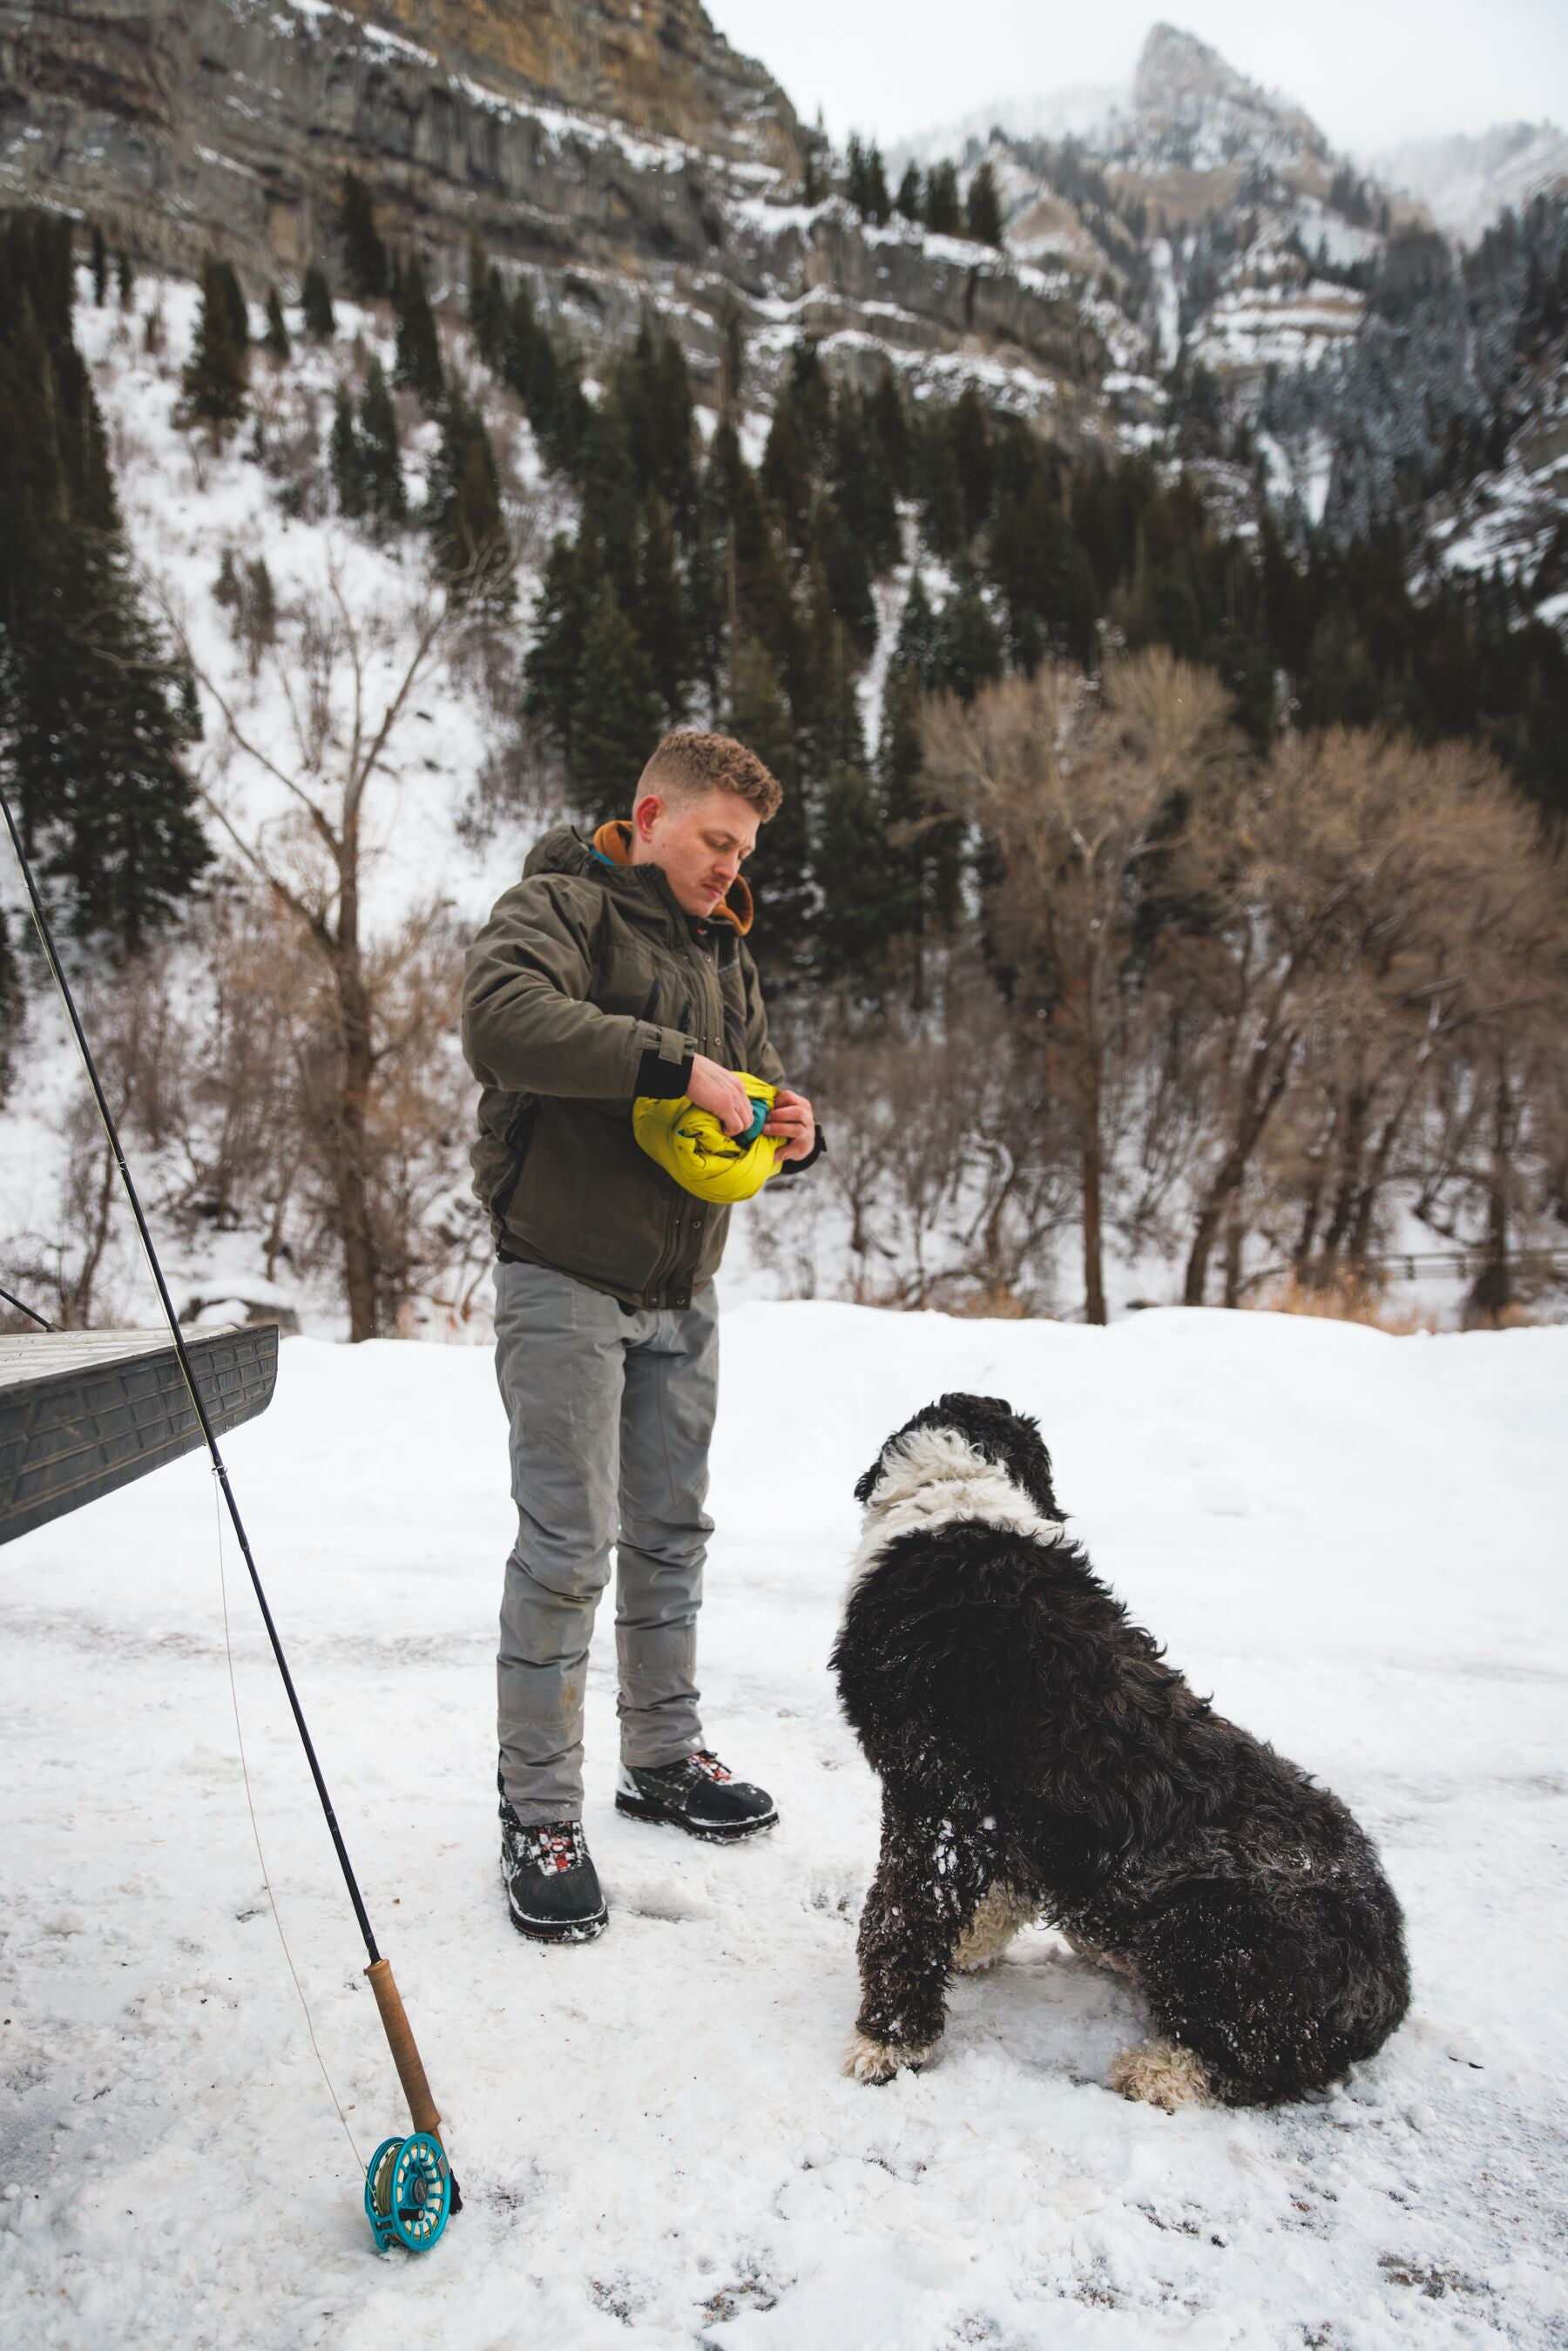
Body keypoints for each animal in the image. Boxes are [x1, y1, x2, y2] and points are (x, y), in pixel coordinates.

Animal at [832, 1391, 1410, 2116]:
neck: (957, 1502)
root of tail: (1391, 1981)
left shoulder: (937, 1796)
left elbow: (903, 1914)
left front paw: (888, 2041)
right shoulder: (1008, 1808)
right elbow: (1000, 1887)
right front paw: (970, 1943)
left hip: (1211, 1924)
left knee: (1259, 2054)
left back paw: (1160, 2071)